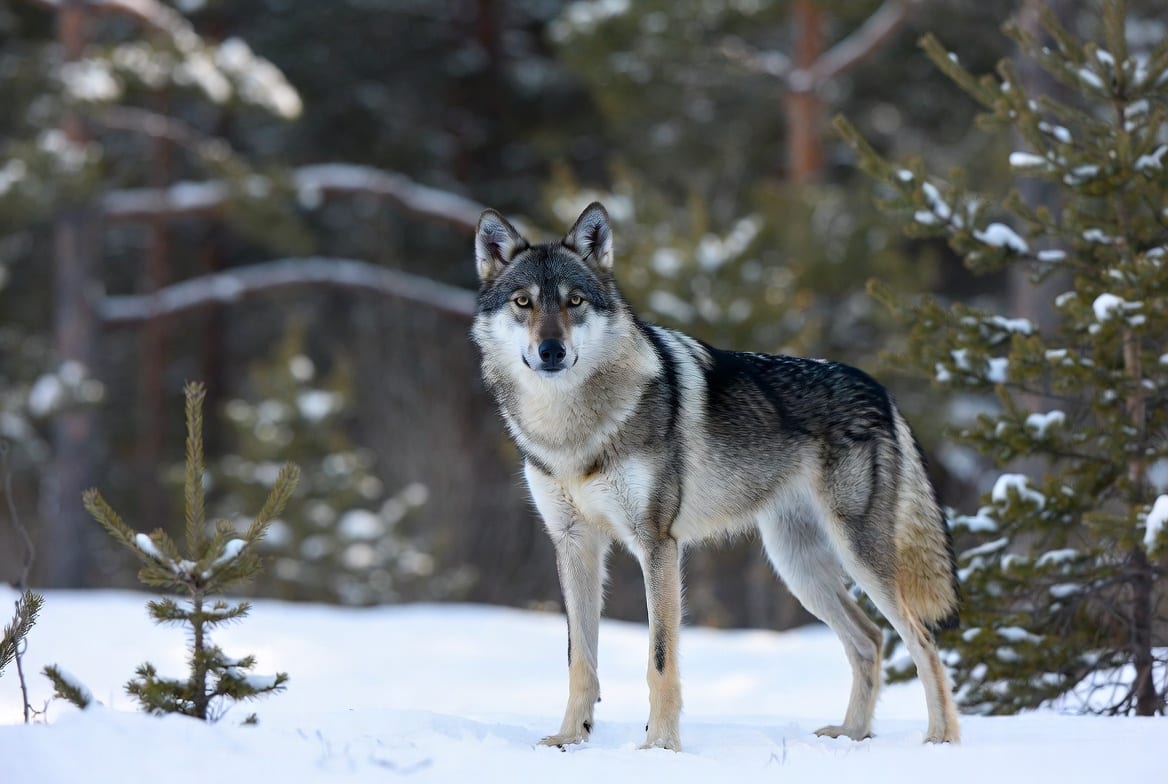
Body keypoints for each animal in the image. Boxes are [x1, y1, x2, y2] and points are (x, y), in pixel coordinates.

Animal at [471, 202, 961, 751]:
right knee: (870, 639)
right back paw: (850, 735)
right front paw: (570, 739)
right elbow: (581, 660)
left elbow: (660, 661)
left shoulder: (657, 544)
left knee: (922, 640)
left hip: (858, 558)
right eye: (523, 302)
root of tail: (879, 388)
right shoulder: (574, 544)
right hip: (798, 567)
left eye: (574, 301)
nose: (551, 350)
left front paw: (660, 747)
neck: (571, 432)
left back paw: (941, 739)